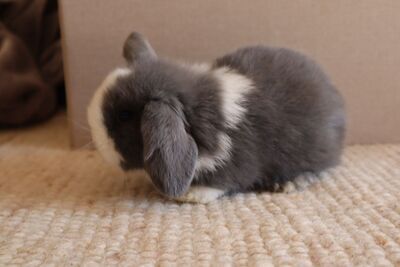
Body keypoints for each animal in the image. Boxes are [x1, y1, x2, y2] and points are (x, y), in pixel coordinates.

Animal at [86, 31, 344, 204]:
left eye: (124, 116)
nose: (94, 135)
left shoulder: (235, 159)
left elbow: (225, 179)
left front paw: (191, 195)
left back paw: (291, 183)